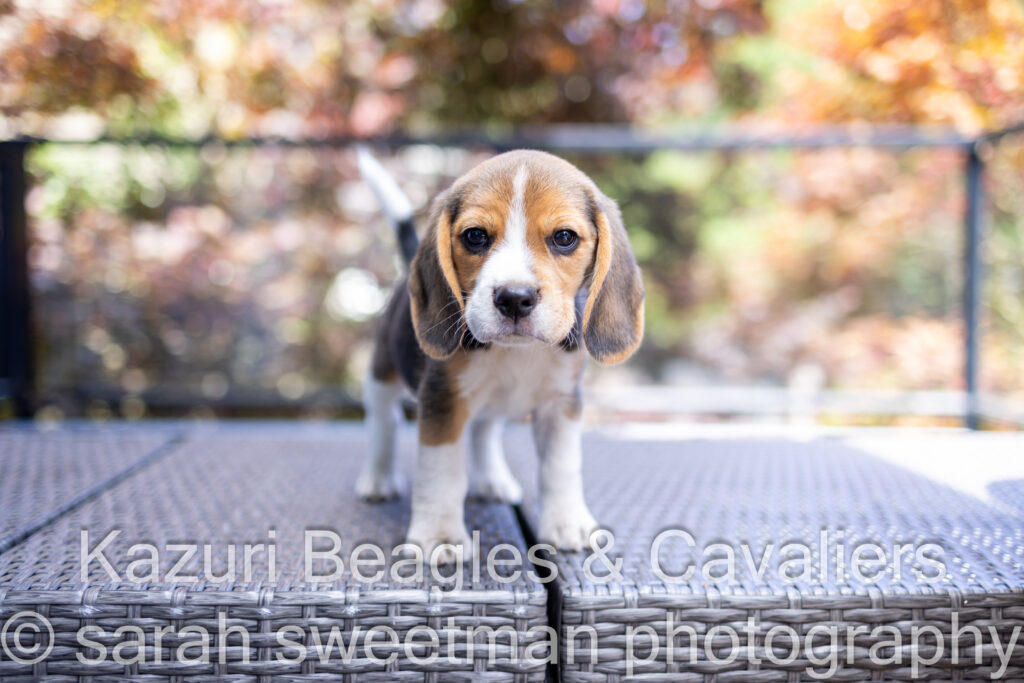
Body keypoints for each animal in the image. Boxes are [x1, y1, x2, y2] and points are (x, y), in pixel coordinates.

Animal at [355, 147, 644, 559]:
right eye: (475, 236)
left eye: (565, 238)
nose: (514, 298)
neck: (518, 352)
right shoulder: (443, 399)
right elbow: (441, 470)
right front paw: (439, 533)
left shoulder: (561, 403)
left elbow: (561, 466)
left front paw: (567, 521)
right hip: (382, 372)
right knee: (385, 420)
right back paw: (378, 479)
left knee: (484, 429)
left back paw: (491, 479)